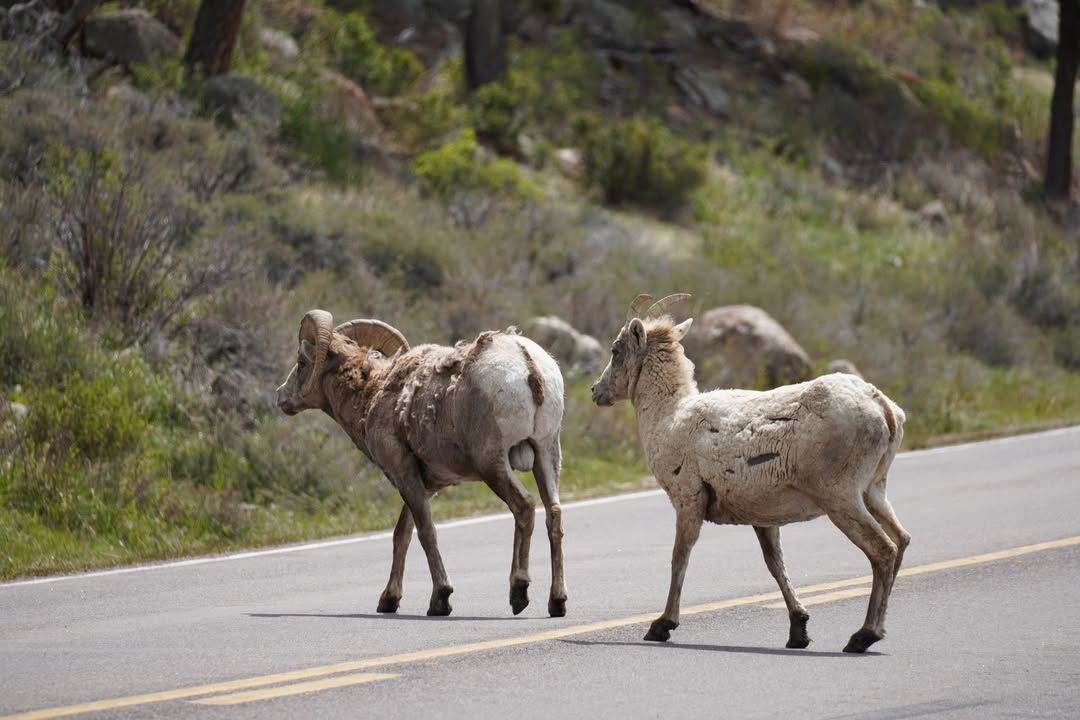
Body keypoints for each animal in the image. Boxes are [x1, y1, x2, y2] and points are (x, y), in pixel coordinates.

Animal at [276, 309, 568, 618]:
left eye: (302, 362)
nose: (281, 396)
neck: (372, 394)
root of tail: (528, 364)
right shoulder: (423, 483)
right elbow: (402, 534)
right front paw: (388, 600)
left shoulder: (403, 471)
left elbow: (426, 532)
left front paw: (440, 600)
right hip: (546, 454)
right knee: (553, 514)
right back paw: (557, 601)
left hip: (493, 464)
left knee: (524, 507)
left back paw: (518, 592)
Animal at [590, 294, 910, 653]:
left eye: (616, 350)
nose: (595, 391)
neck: (668, 417)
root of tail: (884, 408)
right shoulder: (763, 517)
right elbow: (775, 565)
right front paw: (798, 631)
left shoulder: (689, 501)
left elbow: (679, 558)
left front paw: (661, 626)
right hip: (874, 492)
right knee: (901, 540)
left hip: (842, 498)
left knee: (883, 550)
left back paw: (863, 636)